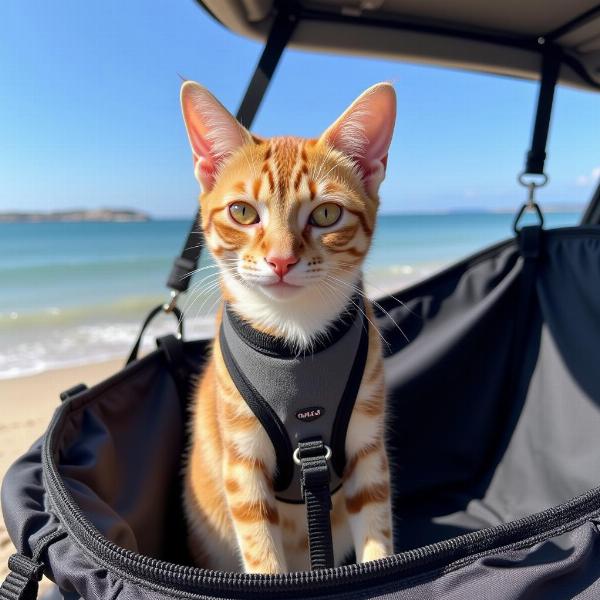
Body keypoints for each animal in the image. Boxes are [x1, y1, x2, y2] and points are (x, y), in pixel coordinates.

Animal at [182, 79, 398, 572]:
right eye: (243, 212)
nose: (281, 260)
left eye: (326, 215)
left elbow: (378, 541)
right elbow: (264, 560)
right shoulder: (242, 468)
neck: (294, 333)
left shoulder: (368, 451)